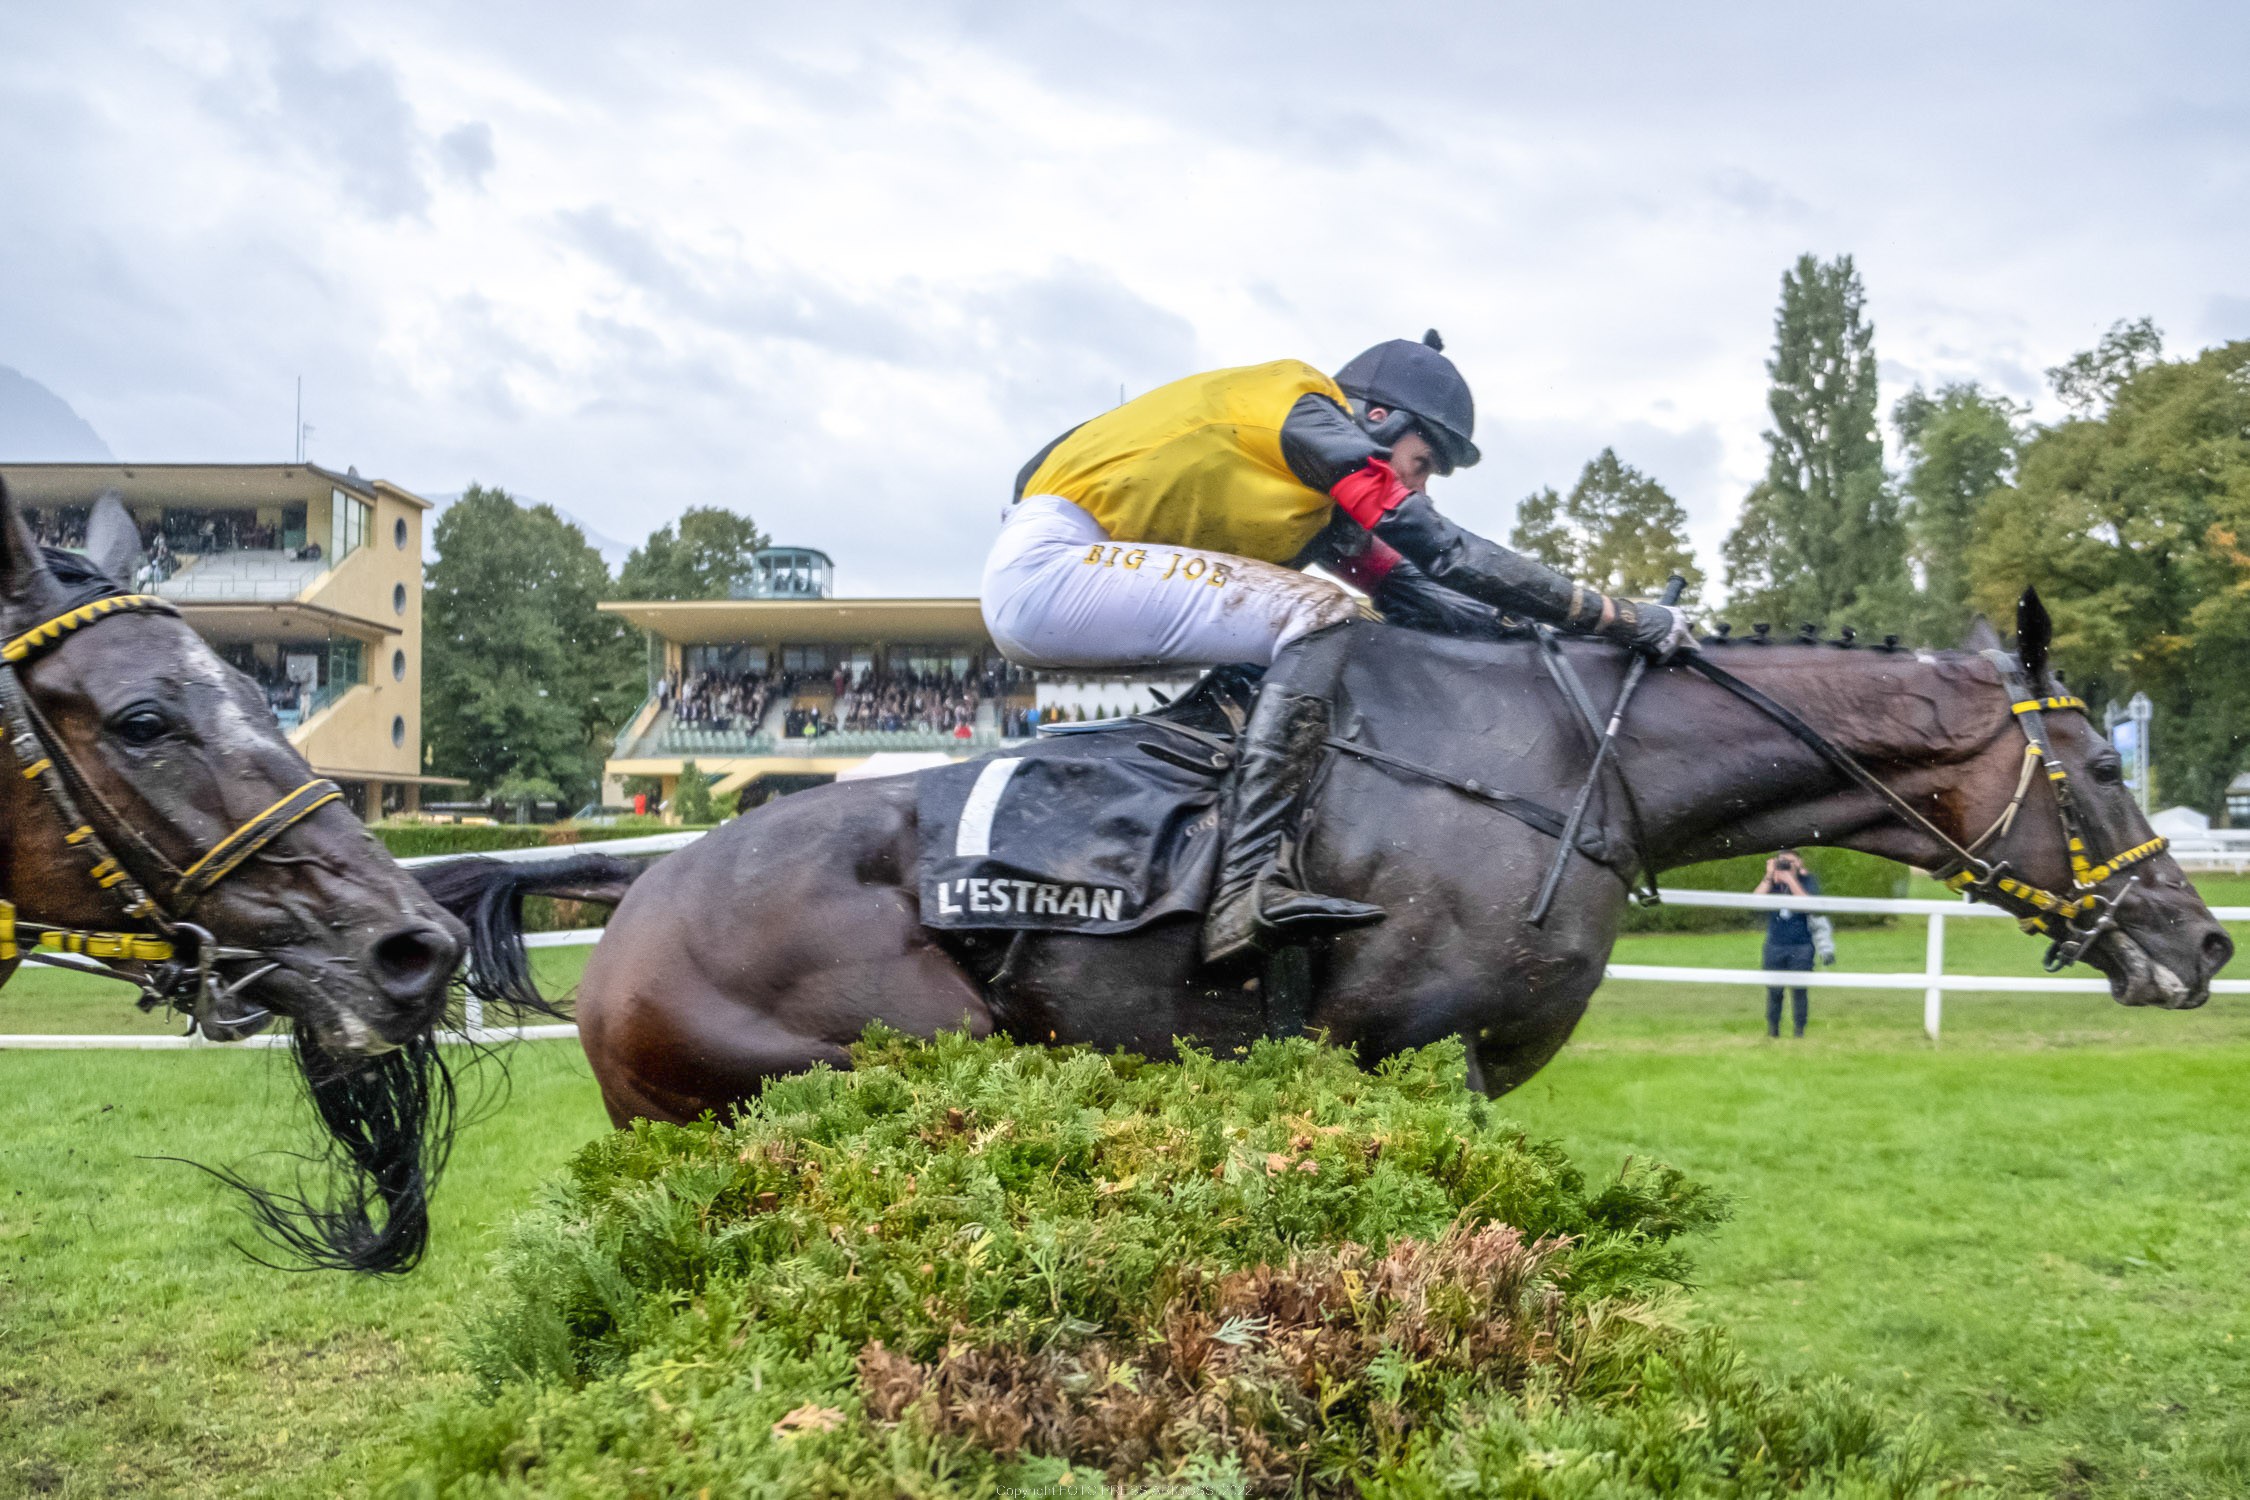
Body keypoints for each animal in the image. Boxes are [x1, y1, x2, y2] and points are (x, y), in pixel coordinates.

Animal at [425, 598, 2232, 1124]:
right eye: (2095, 769)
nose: (2199, 940)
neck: (1565, 763)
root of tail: (642, 879)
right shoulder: (1398, 1045)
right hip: (858, 1070)